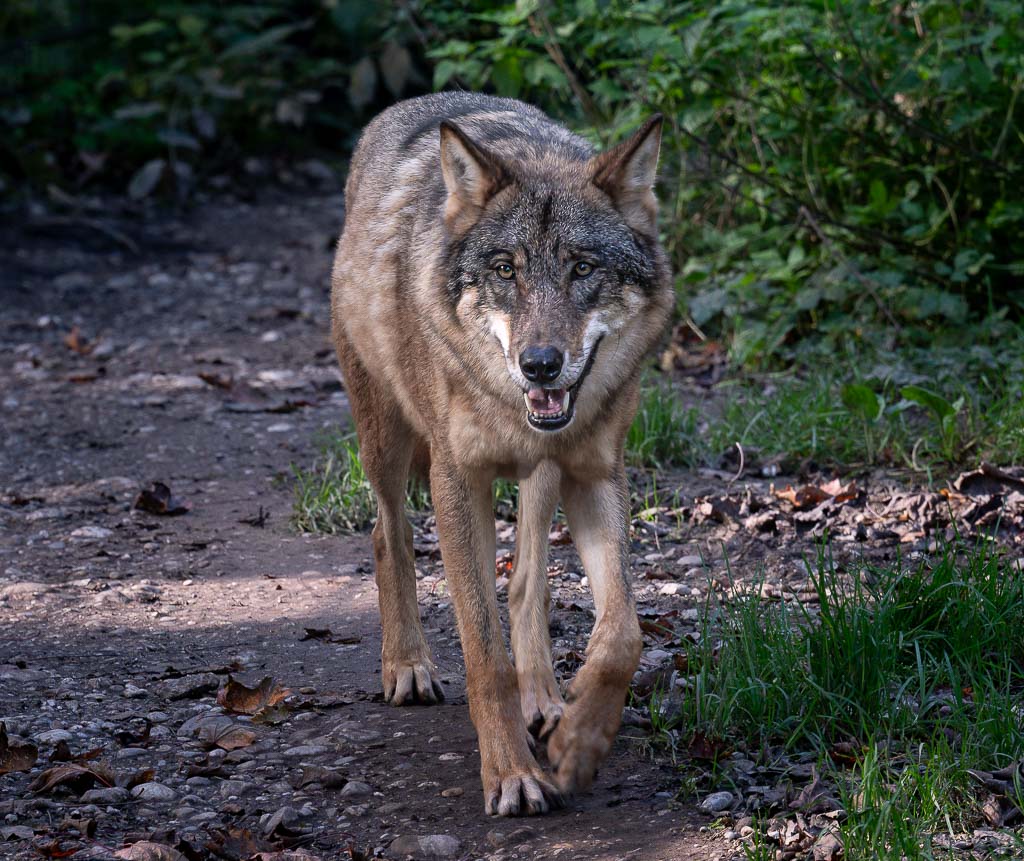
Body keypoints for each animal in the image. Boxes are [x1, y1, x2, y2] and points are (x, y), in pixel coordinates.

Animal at [330, 92, 673, 816]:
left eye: (582, 267)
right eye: (505, 270)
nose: (539, 365)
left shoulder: (596, 473)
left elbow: (621, 633)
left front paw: (578, 742)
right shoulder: (458, 481)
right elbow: (485, 656)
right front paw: (514, 775)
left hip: (542, 477)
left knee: (526, 580)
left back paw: (544, 698)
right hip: (387, 443)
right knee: (387, 535)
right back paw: (407, 666)